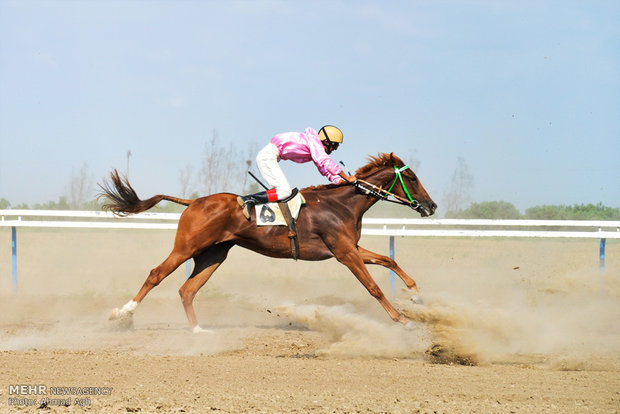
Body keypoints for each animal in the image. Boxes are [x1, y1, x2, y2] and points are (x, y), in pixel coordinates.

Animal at [98, 153, 436, 334]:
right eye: (413, 179)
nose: (431, 206)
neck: (341, 203)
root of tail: (194, 202)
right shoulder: (344, 253)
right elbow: (374, 287)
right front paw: (403, 319)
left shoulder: (350, 248)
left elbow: (389, 260)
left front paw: (416, 296)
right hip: (186, 247)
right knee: (156, 274)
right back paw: (123, 314)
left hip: (213, 254)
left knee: (187, 289)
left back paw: (197, 330)